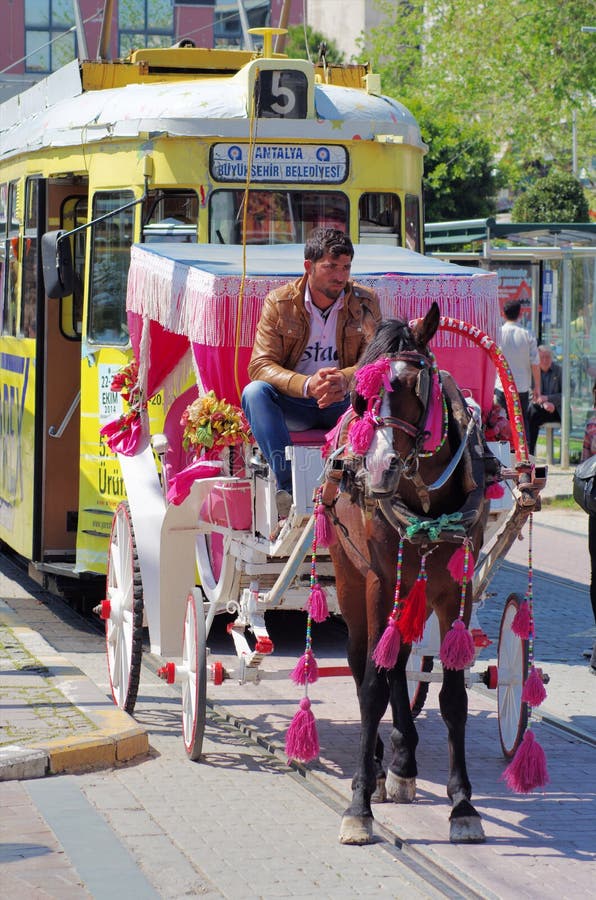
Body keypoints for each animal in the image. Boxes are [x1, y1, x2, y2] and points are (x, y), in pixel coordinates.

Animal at [328, 302, 492, 844]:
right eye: (358, 393)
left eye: (406, 383)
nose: (377, 470)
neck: (424, 502)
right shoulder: (380, 582)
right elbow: (373, 687)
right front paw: (359, 805)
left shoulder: (456, 590)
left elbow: (454, 696)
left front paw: (463, 806)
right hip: (351, 579)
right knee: (364, 662)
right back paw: (379, 766)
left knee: (399, 660)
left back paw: (402, 760)